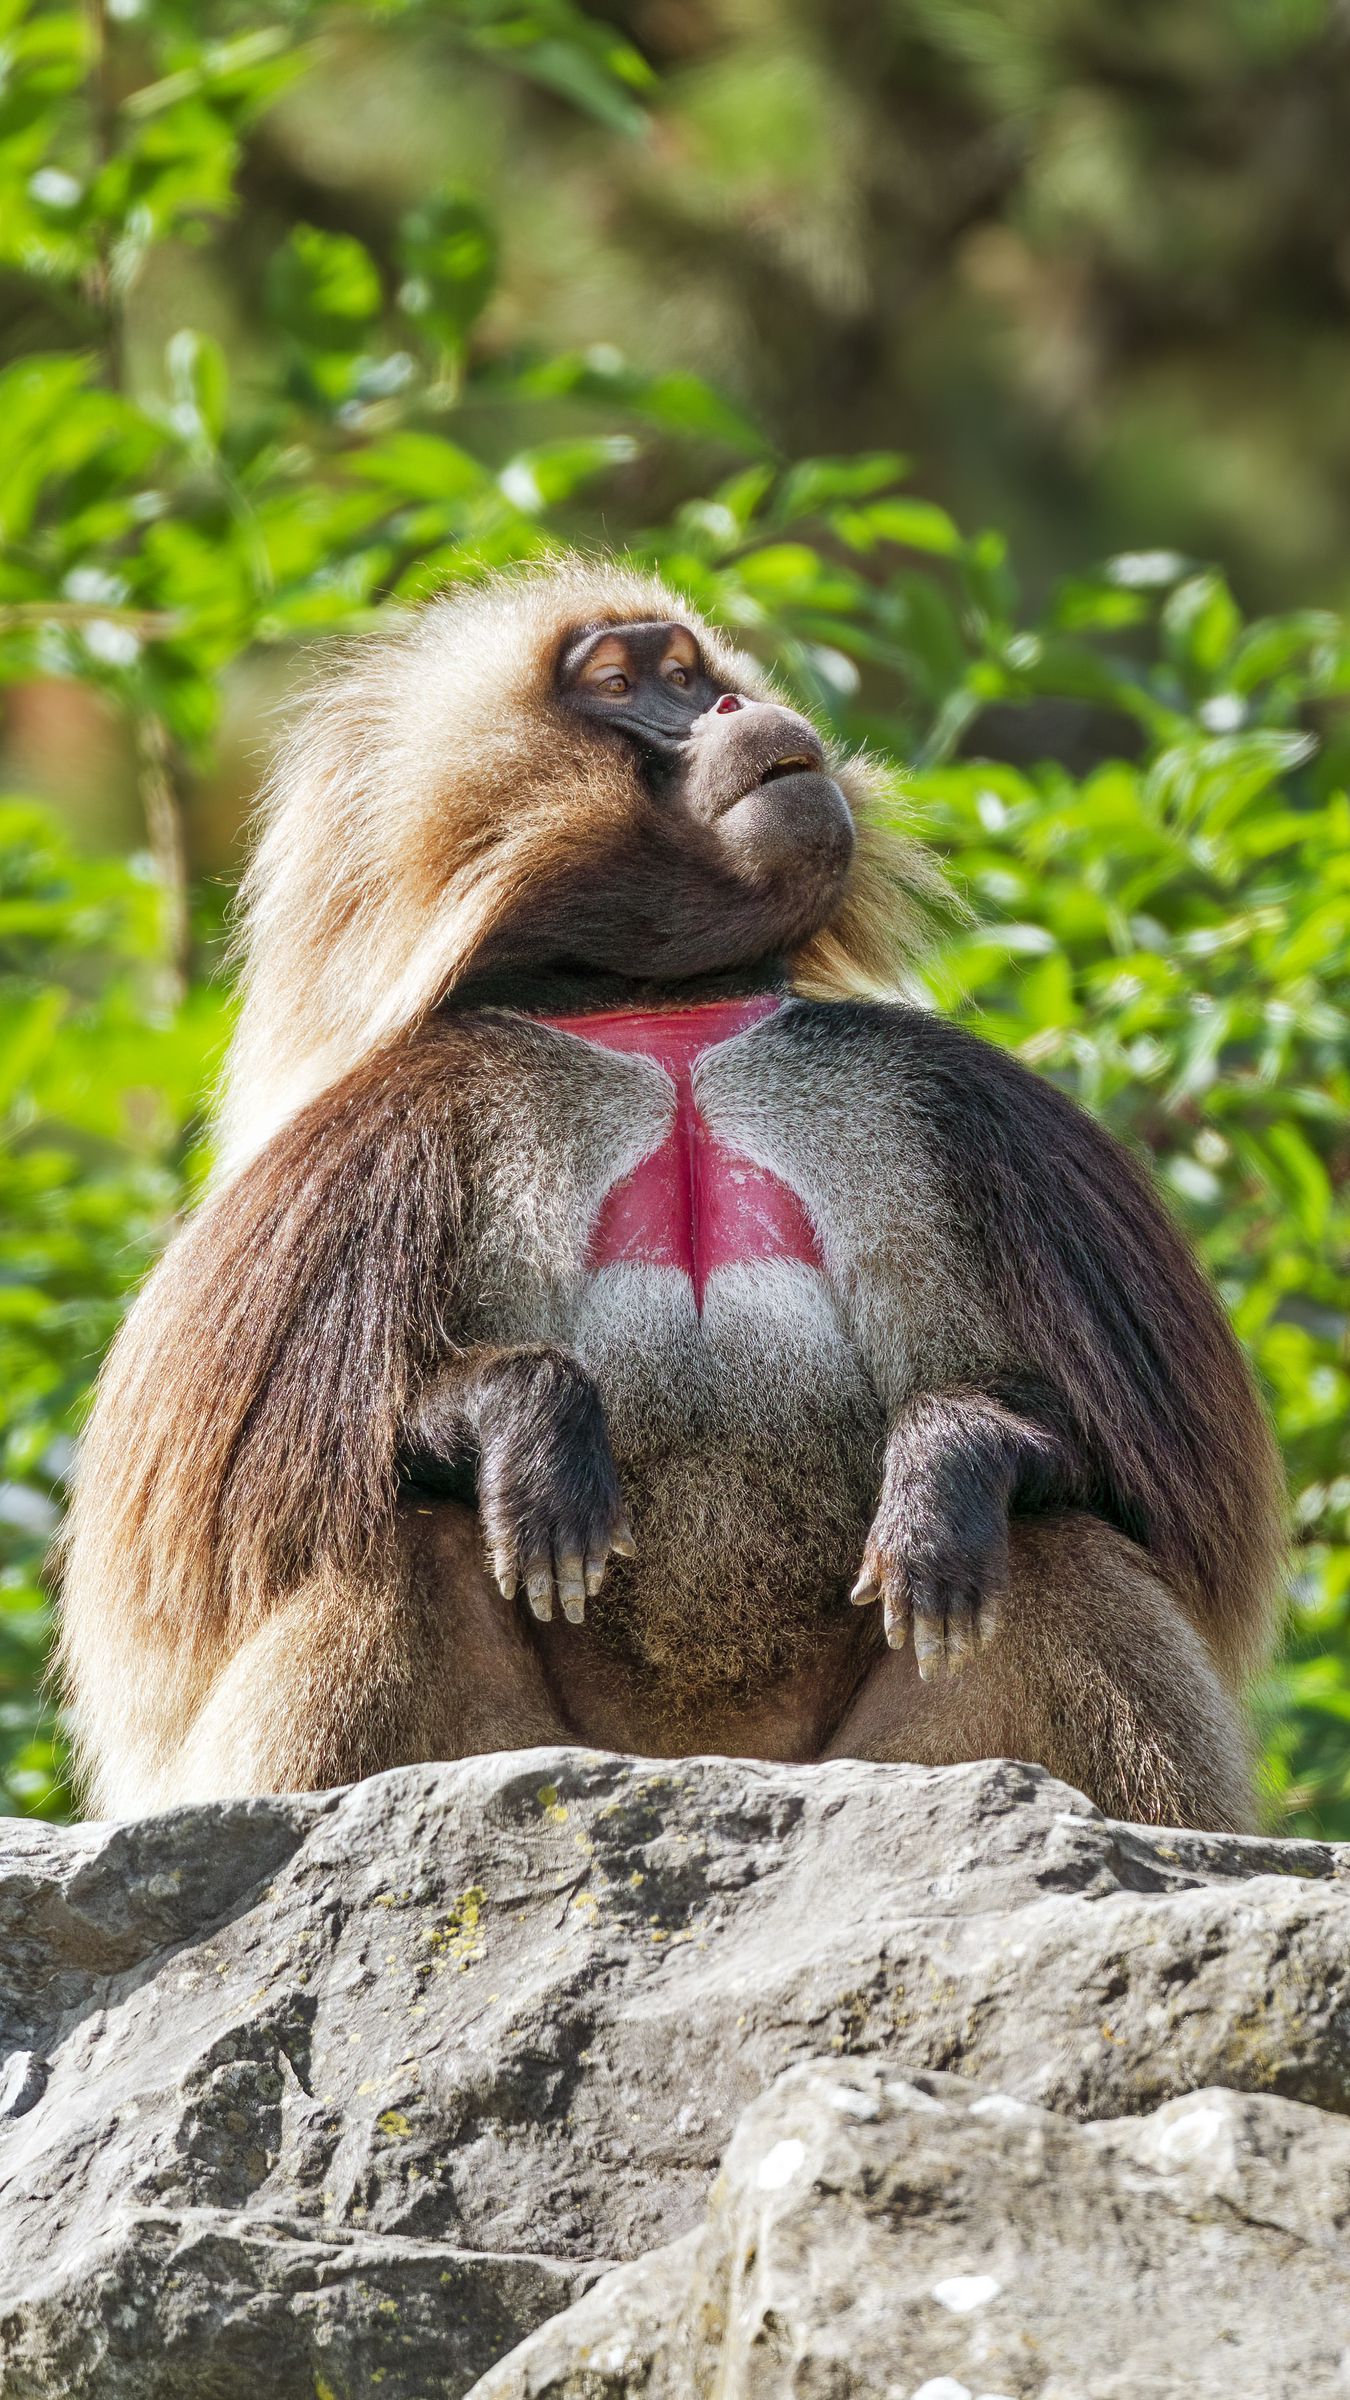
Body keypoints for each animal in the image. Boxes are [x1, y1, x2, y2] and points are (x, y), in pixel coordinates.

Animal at [57, 556, 1285, 1831]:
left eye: (692, 674)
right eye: (619, 683)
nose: (739, 708)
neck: (661, 1014)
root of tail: (701, 1768)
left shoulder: (970, 1109)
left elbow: (1164, 1506)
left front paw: (946, 1465)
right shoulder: (381, 1142)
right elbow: (222, 1550)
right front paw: (530, 1425)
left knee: (1051, 1548)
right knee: (404, 1545)